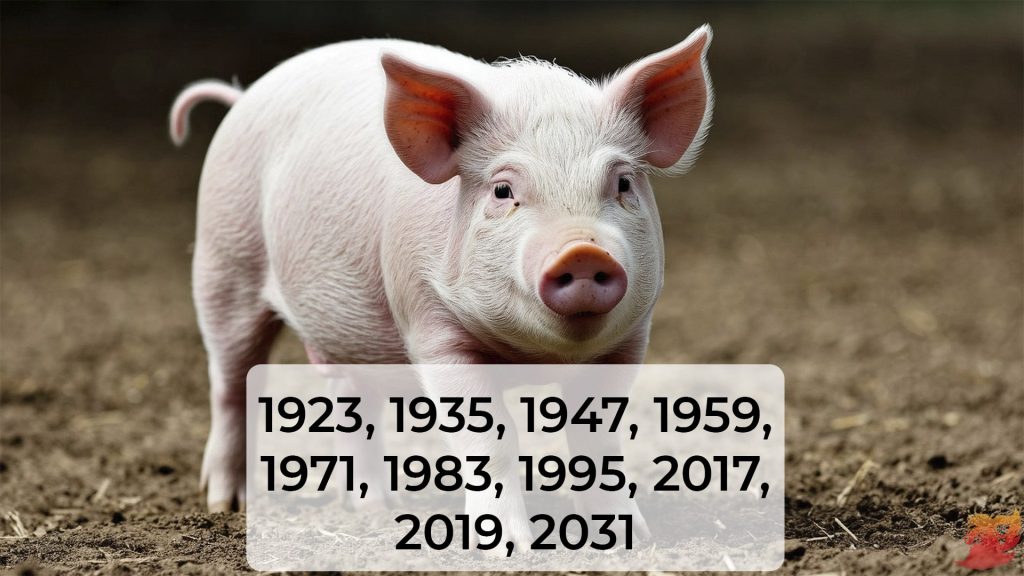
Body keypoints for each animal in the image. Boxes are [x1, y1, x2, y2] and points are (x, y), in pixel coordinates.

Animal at [170, 26, 713, 546]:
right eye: (502, 190)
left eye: (622, 183)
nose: (583, 251)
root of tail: (242, 98)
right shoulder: (432, 324)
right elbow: (494, 437)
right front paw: (508, 546)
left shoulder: (629, 340)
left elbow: (597, 442)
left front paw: (630, 540)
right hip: (223, 260)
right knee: (231, 383)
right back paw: (227, 504)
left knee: (350, 399)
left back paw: (373, 507)